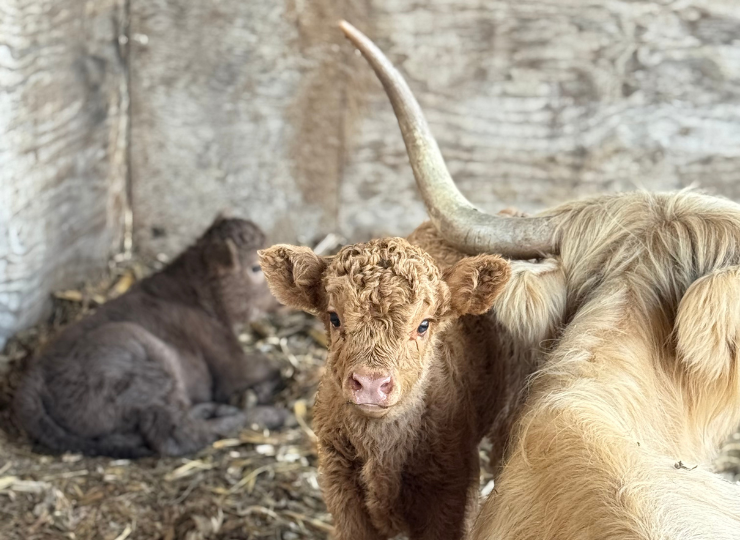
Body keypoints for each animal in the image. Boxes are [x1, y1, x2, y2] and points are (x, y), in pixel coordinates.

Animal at [13, 216, 286, 458]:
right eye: (255, 268)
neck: (197, 293)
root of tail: (32, 379)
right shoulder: (226, 359)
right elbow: (272, 367)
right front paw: (256, 393)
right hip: (142, 360)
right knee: (177, 434)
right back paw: (263, 415)